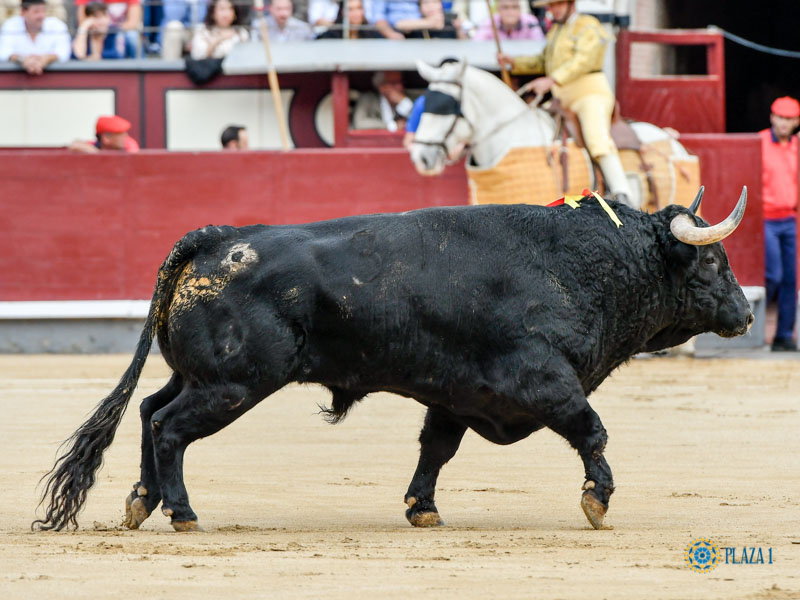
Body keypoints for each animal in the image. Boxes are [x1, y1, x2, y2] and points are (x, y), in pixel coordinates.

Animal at [34, 190, 752, 532]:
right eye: (713, 262)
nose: (746, 316)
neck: (584, 265)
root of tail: (221, 237)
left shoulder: (457, 395)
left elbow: (436, 449)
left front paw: (421, 508)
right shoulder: (544, 380)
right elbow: (592, 430)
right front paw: (597, 501)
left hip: (200, 374)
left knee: (148, 411)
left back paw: (142, 501)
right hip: (233, 384)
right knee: (169, 427)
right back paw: (181, 513)